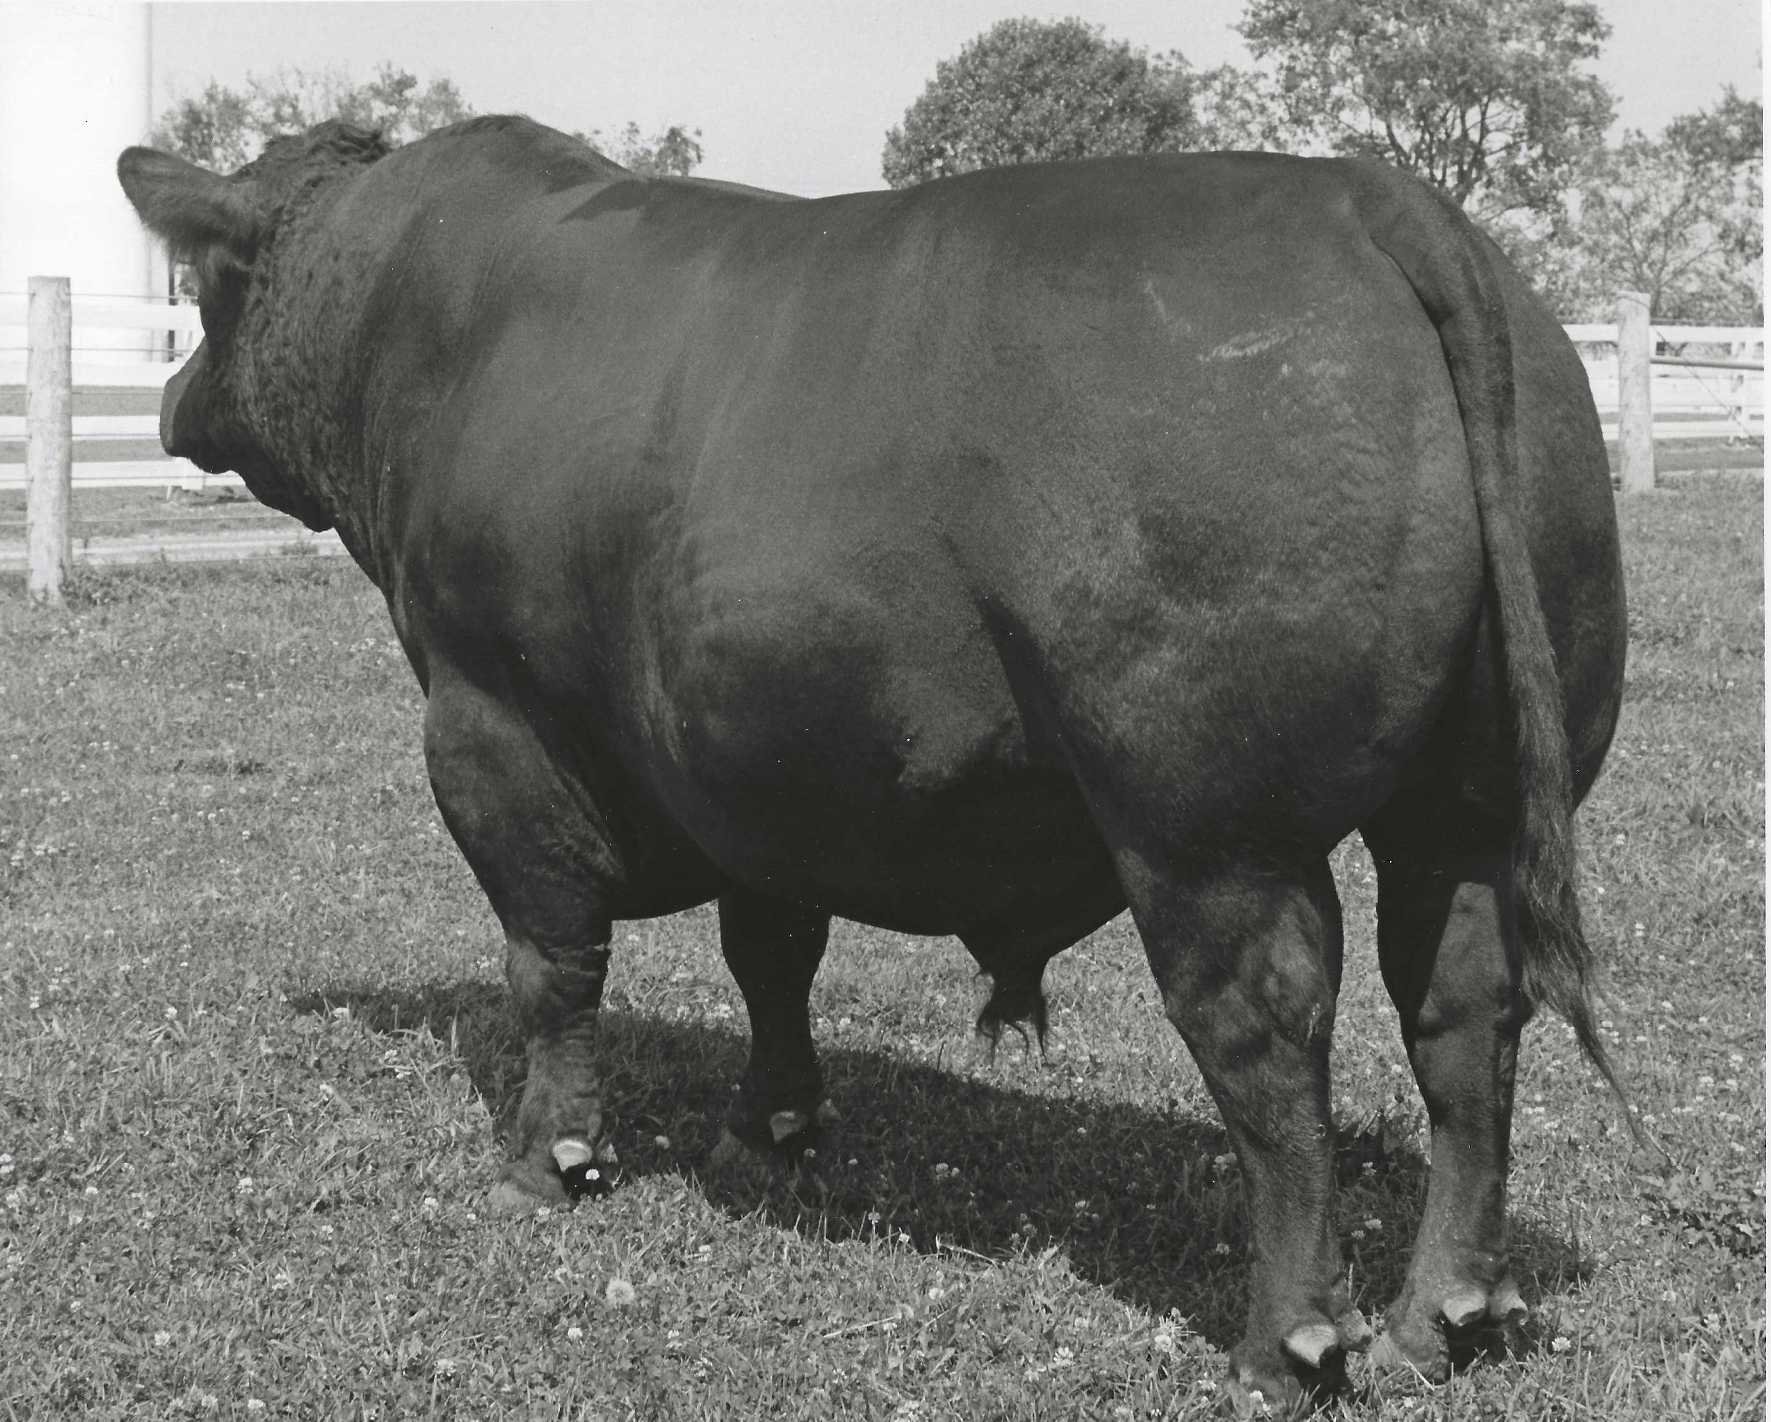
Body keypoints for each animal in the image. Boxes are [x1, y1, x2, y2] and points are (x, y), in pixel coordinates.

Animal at [119, 116, 1625, 1408]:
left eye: (207, 287)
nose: (171, 399)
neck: (420, 318)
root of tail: (1366, 197)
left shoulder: (489, 715)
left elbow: (548, 956)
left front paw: (548, 1158)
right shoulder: (758, 758)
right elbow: (771, 950)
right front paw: (770, 1130)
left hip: (1209, 830)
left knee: (1266, 1037)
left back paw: (1287, 1341)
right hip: (1465, 807)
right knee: (1462, 1011)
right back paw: (1442, 1313)